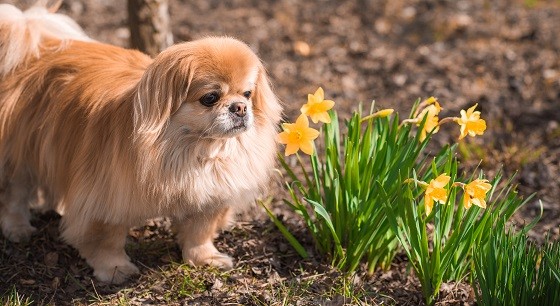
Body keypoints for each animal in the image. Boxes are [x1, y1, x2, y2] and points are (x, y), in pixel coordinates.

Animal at [0, 2, 280, 284]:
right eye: (210, 98)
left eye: (247, 94)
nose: (240, 107)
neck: (190, 149)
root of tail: (33, 52)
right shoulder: (106, 199)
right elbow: (107, 240)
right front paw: (115, 269)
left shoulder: (209, 197)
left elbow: (199, 232)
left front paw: (204, 258)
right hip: (18, 156)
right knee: (15, 193)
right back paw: (17, 227)